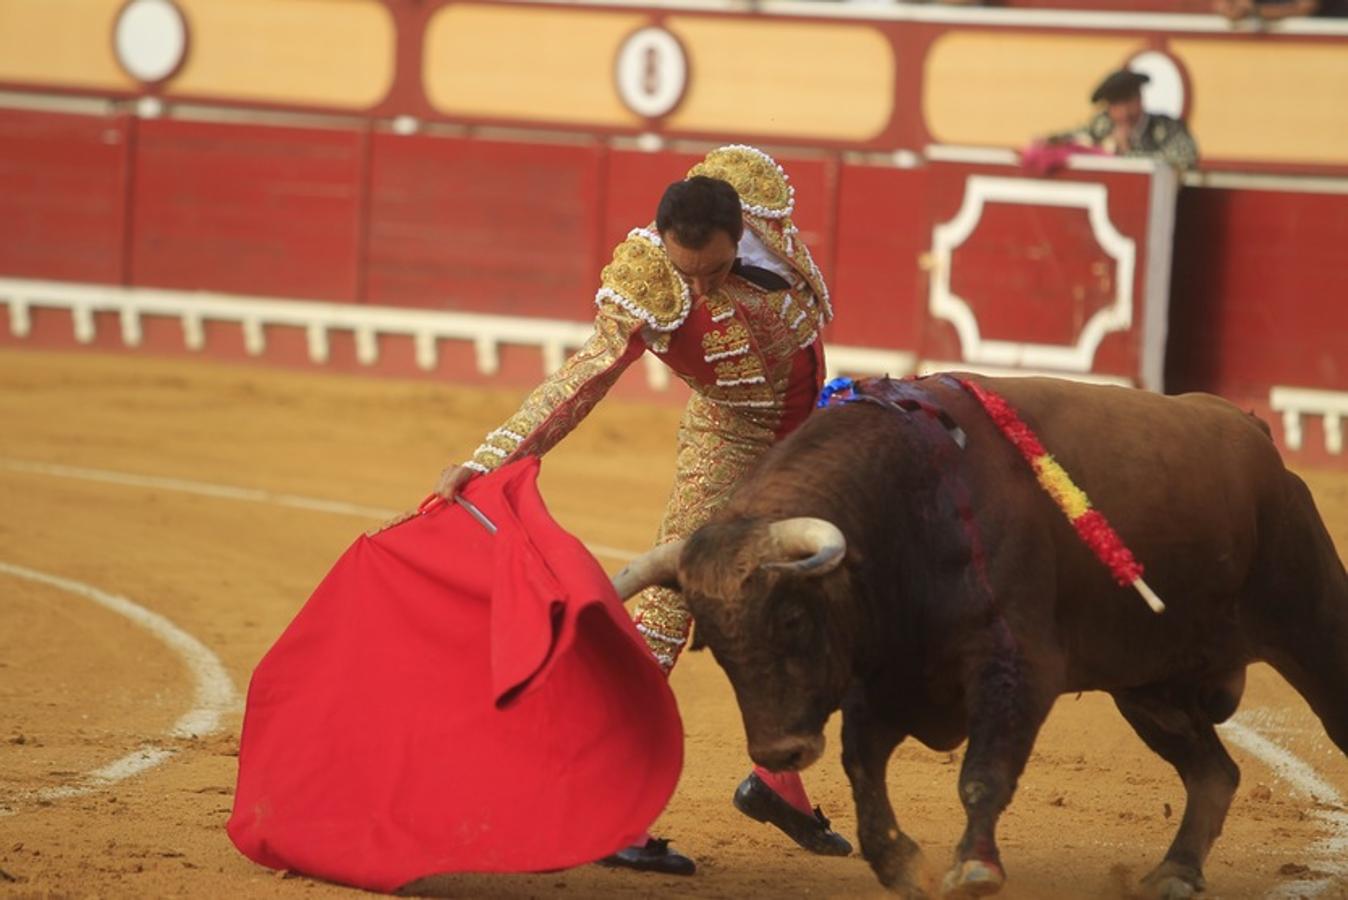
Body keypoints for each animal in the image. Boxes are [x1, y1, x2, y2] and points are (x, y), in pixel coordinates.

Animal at [614, 377, 1348, 894]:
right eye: (713, 644)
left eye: (792, 618)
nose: (781, 750)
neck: (902, 511)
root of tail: (1252, 431)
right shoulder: (886, 680)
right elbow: (862, 766)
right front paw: (901, 864)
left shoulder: (1017, 667)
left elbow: (983, 773)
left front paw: (973, 868)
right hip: (1151, 689)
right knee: (1214, 772)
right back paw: (1174, 873)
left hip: (1312, 624)